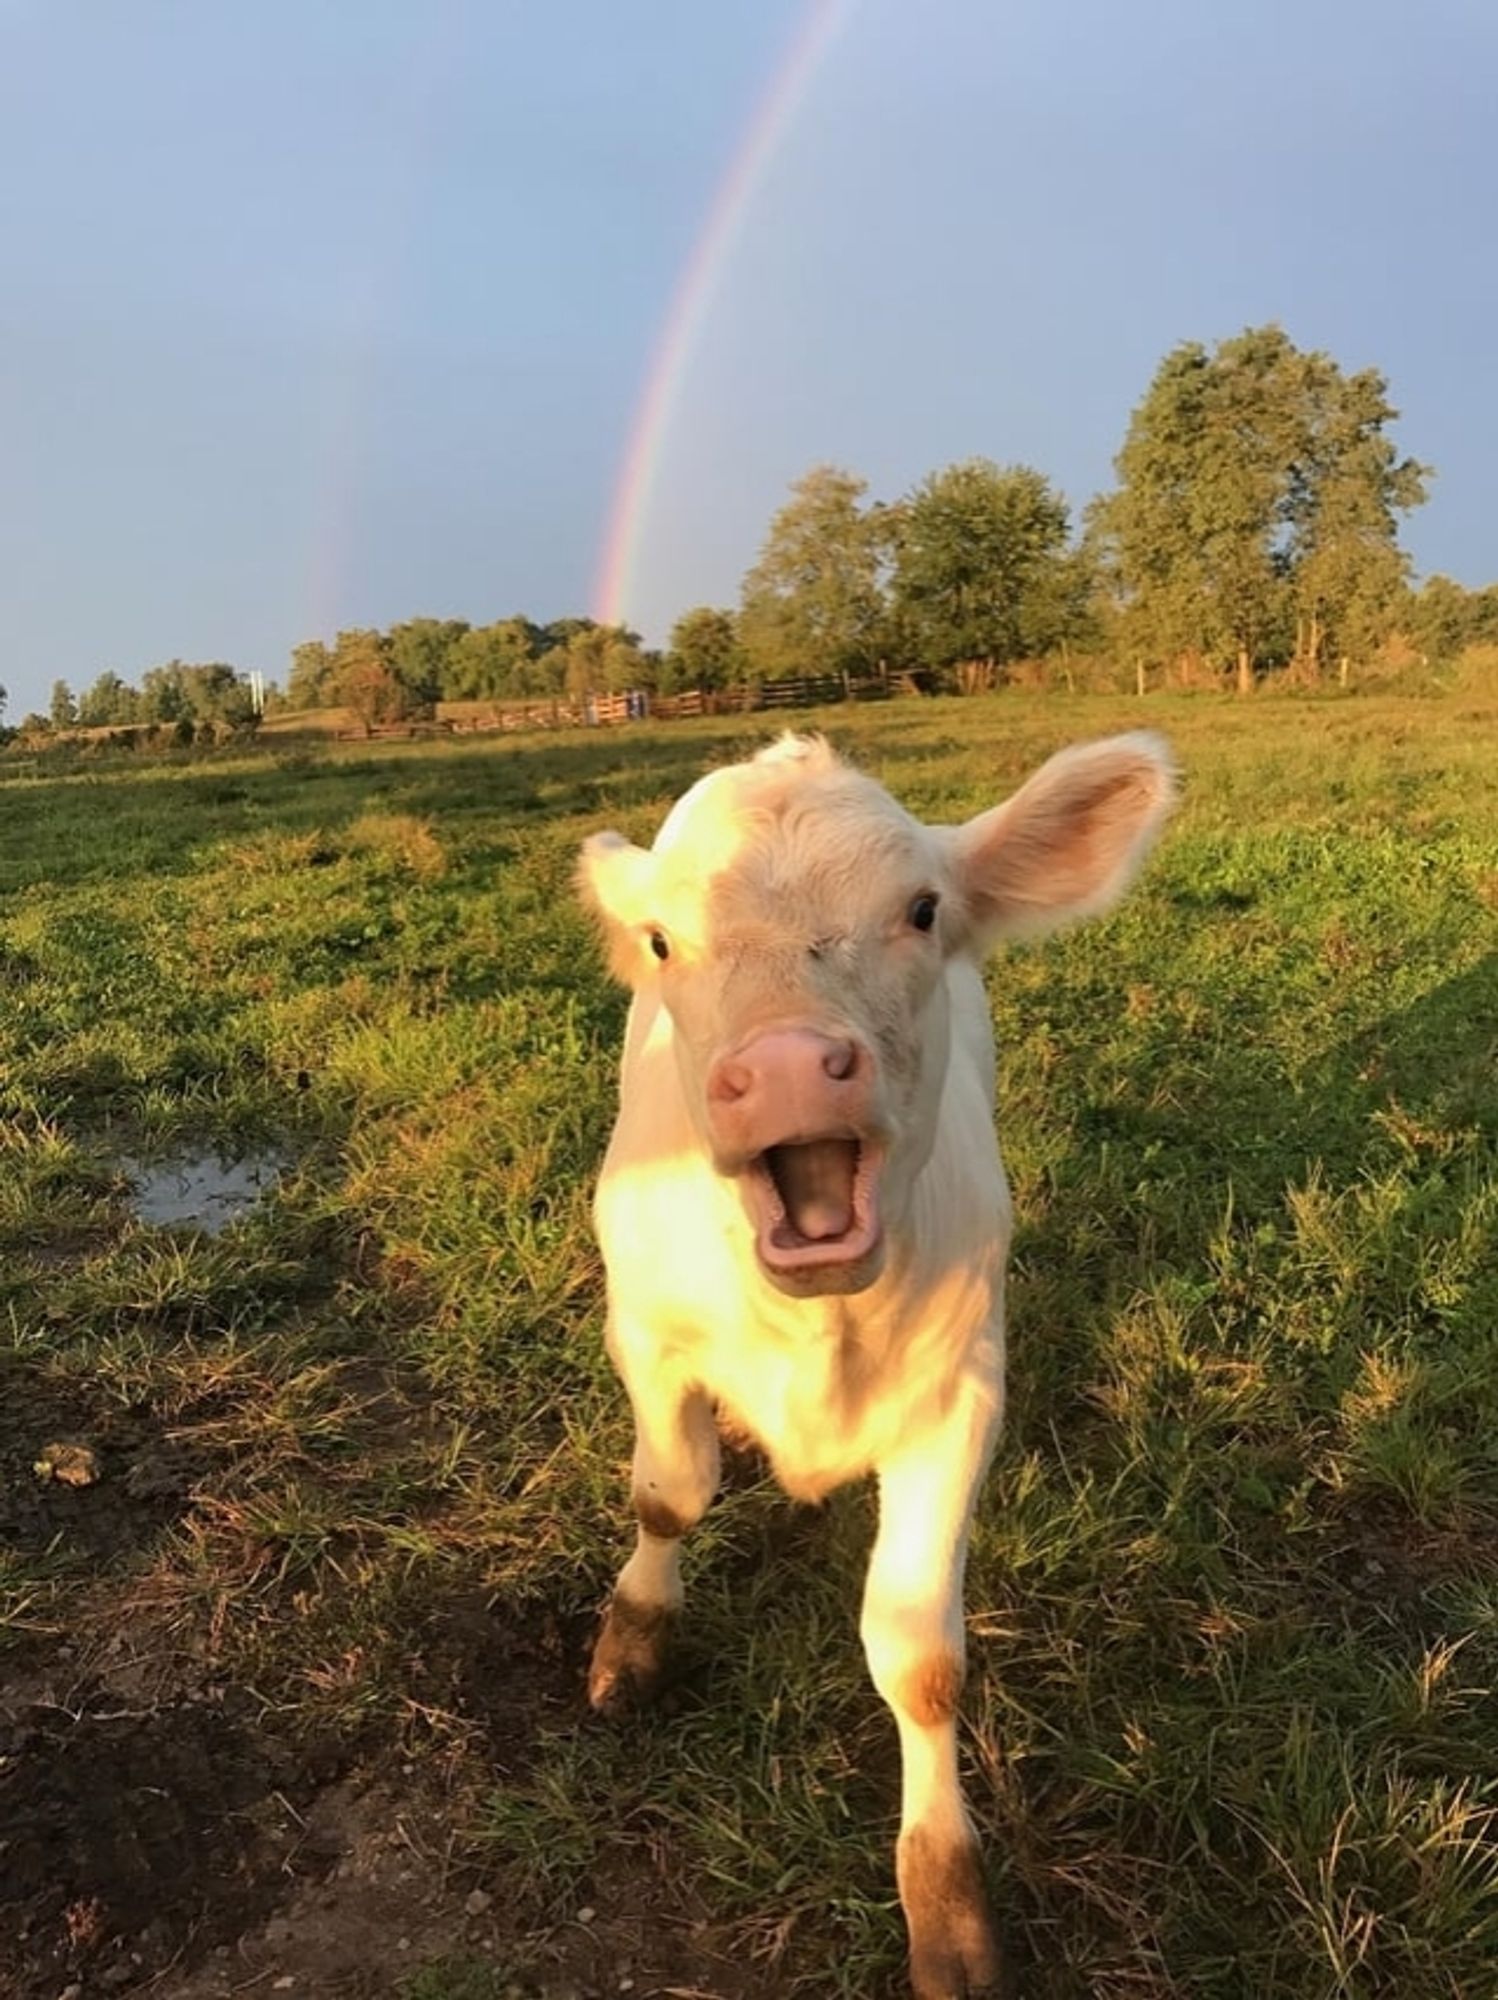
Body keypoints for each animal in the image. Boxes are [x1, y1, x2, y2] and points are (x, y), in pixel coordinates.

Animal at [580, 728, 1176, 1992]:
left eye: (920, 909)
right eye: (662, 938)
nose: (789, 1063)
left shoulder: (961, 1394)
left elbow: (917, 1657)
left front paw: (944, 1902)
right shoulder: (642, 1328)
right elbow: (668, 1493)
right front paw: (635, 1633)